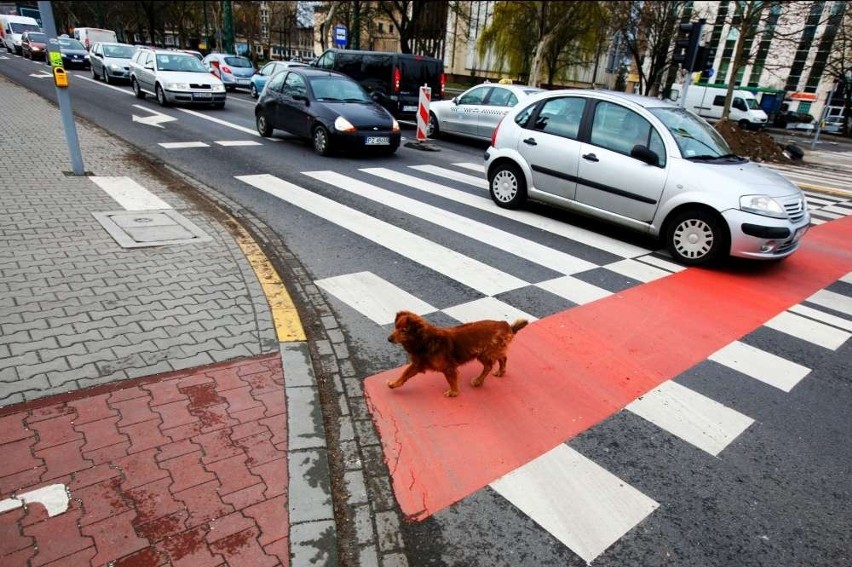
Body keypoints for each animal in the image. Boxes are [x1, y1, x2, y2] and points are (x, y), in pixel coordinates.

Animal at [386, 310, 524, 400]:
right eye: (395, 327)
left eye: (404, 330)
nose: (388, 339)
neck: (425, 340)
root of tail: (504, 324)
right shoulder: (418, 364)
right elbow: (405, 374)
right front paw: (394, 383)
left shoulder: (448, 367)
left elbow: (451, 380)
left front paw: (454, 392)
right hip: (486, 353)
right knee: (502, 358)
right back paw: (498, 373)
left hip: (486, 353)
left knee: (491, 365)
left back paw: (480, 380)